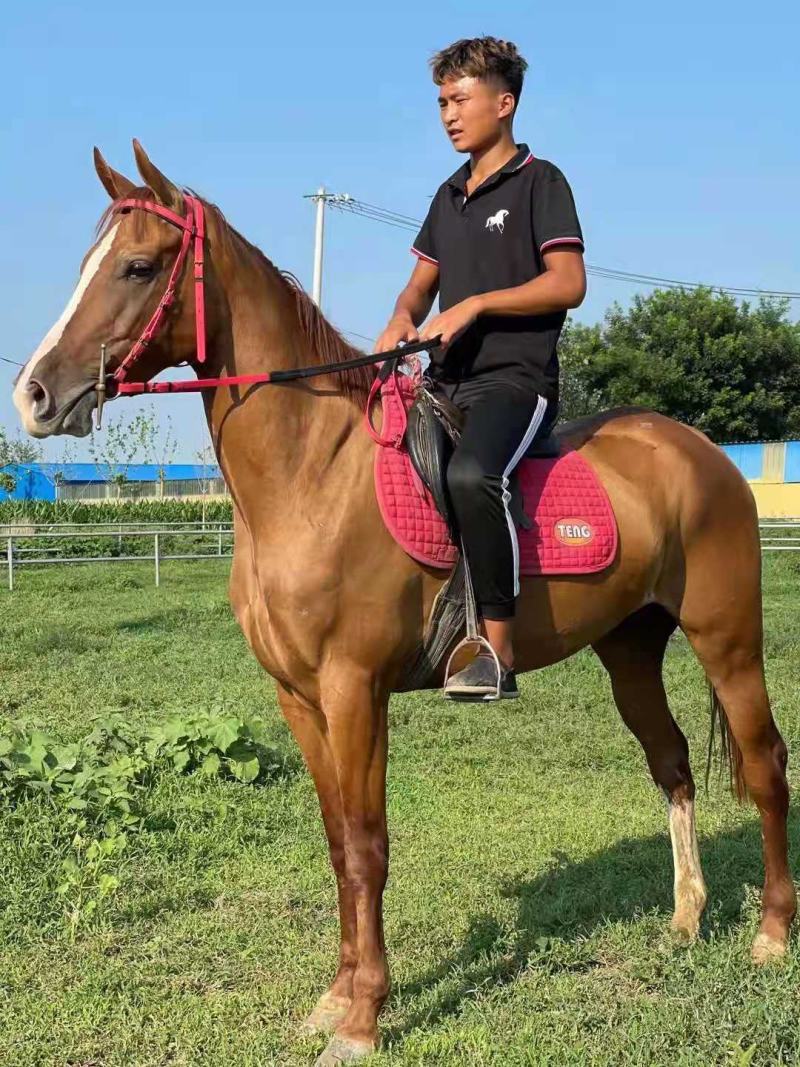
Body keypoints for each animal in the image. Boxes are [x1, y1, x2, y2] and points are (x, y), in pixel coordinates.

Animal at [12, 141, 795, 1065]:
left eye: (137, 266)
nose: (34, 394)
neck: (313, 472)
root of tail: (701, 453)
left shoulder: (356, 689)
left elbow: (367, 845)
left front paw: (362, 1018)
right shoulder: (299, 696)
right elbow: (335, 841)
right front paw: (334, 997)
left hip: (727, 639)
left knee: (765, 765)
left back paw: (771, 933)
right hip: (631, 649)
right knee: (672, 763)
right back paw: (684, 918)